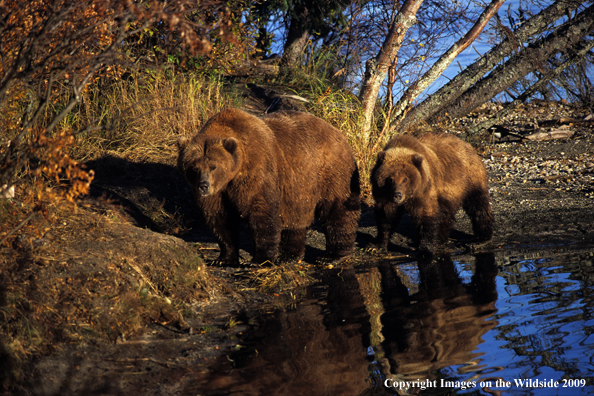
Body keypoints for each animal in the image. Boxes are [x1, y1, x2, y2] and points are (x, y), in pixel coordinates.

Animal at [176, 108, 358, 266]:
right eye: (194, 168)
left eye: (213, 166)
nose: (203, 186)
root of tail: (339, 133)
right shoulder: (219, 192)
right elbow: (220, 218)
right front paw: (223, 258)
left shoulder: (256, 169)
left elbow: (261, 210)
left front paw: (258, 260)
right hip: (298, 186)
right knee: (295, 217)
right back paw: (288, 256)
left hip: (331, 173)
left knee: (337, 210)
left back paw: (332, 256)